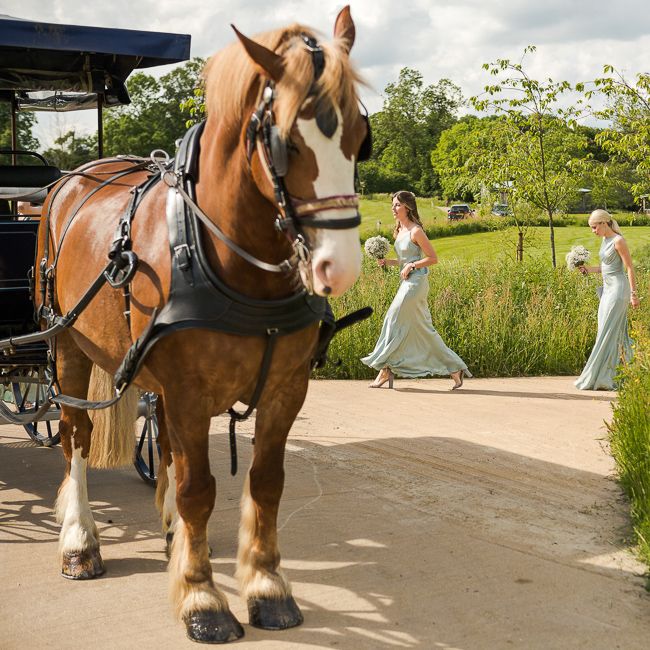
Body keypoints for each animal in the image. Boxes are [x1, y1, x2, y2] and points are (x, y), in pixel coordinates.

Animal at [35, 6, 368, 643]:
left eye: (361, 137)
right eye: (284, 142)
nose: (337, 266)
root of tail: (70, 179)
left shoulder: (286, 388)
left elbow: (264, 481)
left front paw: (265, 586)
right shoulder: (188, 391)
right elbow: (199, 488)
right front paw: (201, 598)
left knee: (161, 441)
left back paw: (171, 537)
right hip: (67, 342)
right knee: (75, 436)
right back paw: (79, 540)